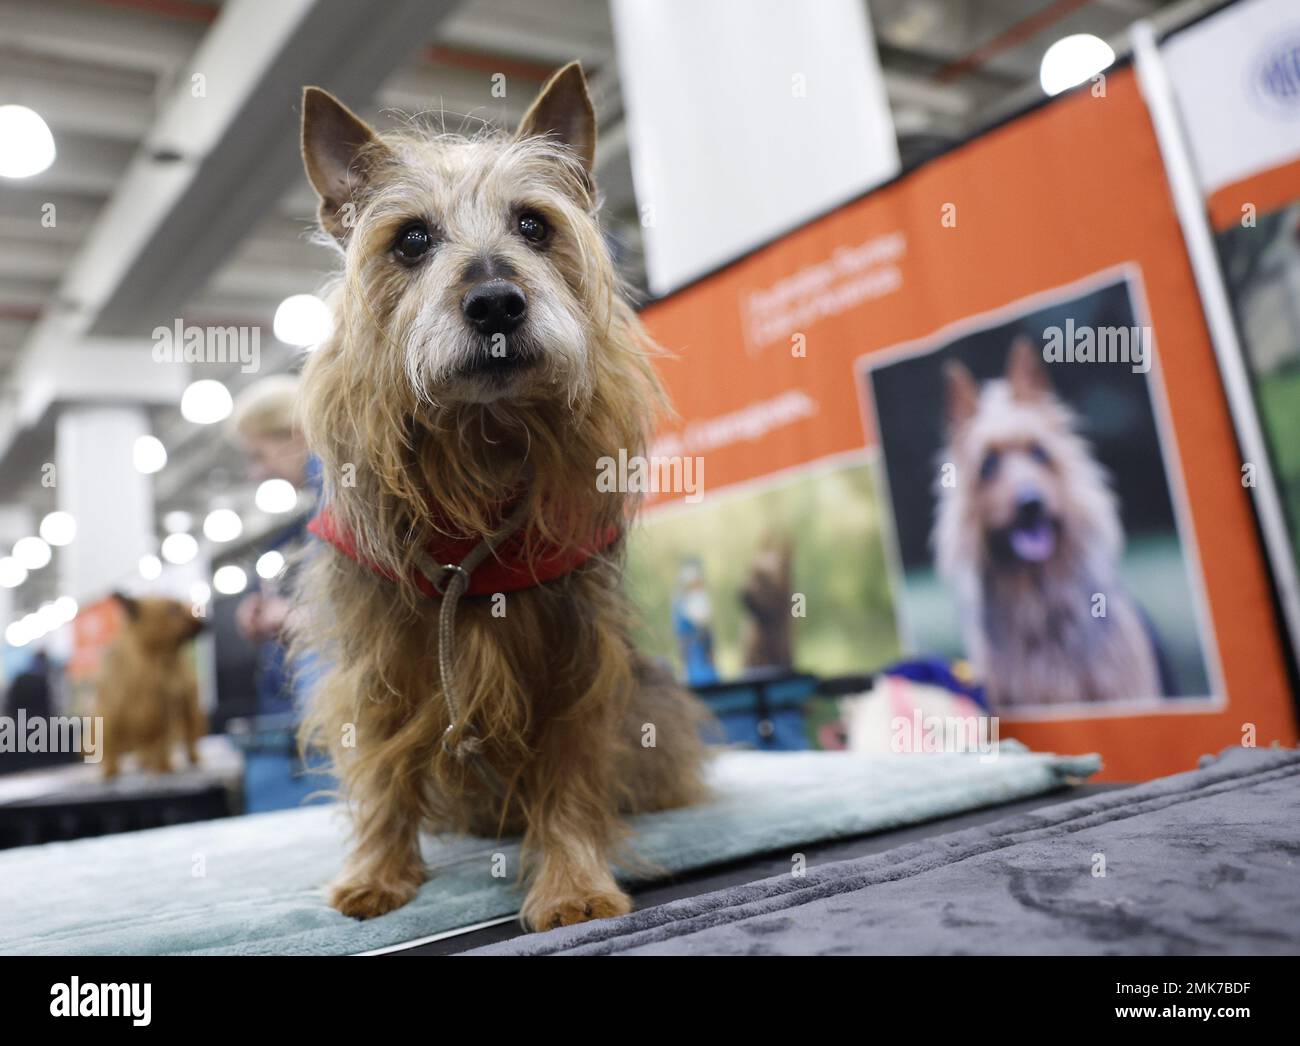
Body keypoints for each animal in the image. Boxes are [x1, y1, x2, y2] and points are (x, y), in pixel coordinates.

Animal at [95, 595, 205, 774]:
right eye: (173, 609)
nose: (205, 621)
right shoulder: (111, 715)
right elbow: (110, 746)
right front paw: (110, 771)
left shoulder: (166, 710)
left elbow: (166, 742)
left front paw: (163, 766)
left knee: (184, 739)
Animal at [295, 61, 712, 925]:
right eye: (411, 239)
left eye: (533, 225)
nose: (494, 302)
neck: (480, 443)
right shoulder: (376, 654)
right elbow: (381, 766)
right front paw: (378, 872)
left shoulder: (575, 652)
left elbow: (572, 770)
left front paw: (574, 883)